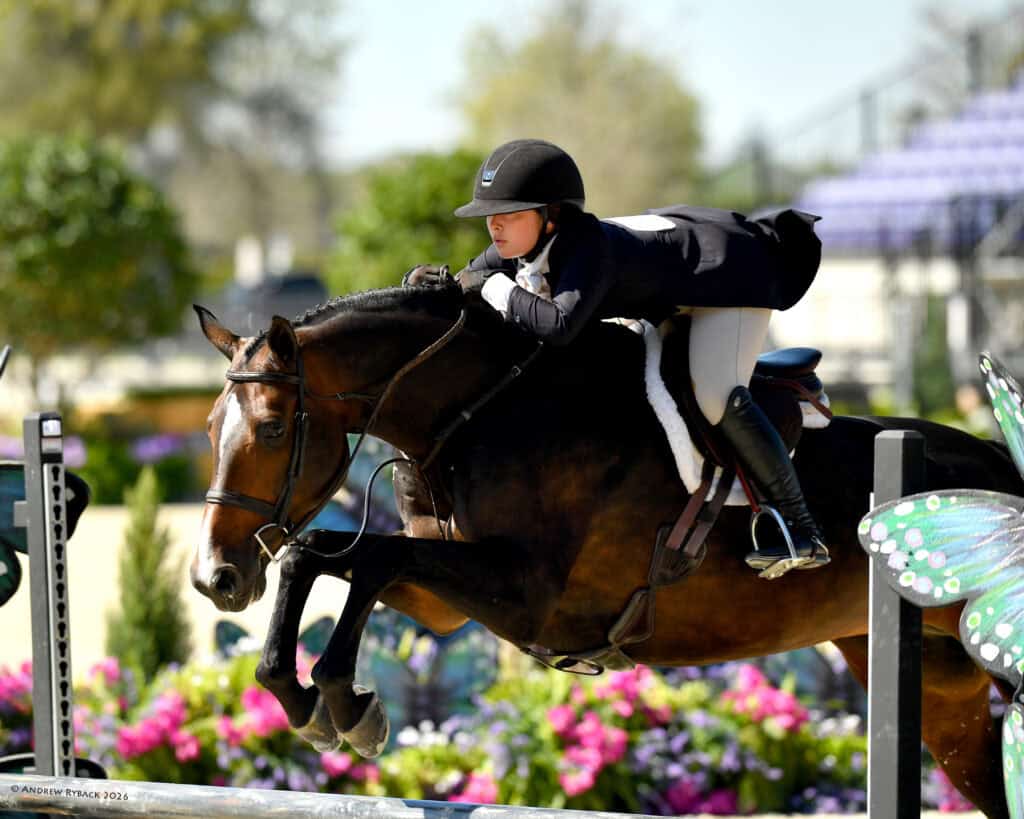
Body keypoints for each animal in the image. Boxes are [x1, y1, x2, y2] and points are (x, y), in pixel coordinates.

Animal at [191, 282, 1021, 819]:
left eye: (272, 428)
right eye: (206, 427)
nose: (215, 578)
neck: (477, 412)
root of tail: (998, 461)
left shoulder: (528, 597)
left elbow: (363, 557)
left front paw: (341, 700)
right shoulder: (446, 600)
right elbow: (325, 553)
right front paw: (307, 696)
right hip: (941, 693)